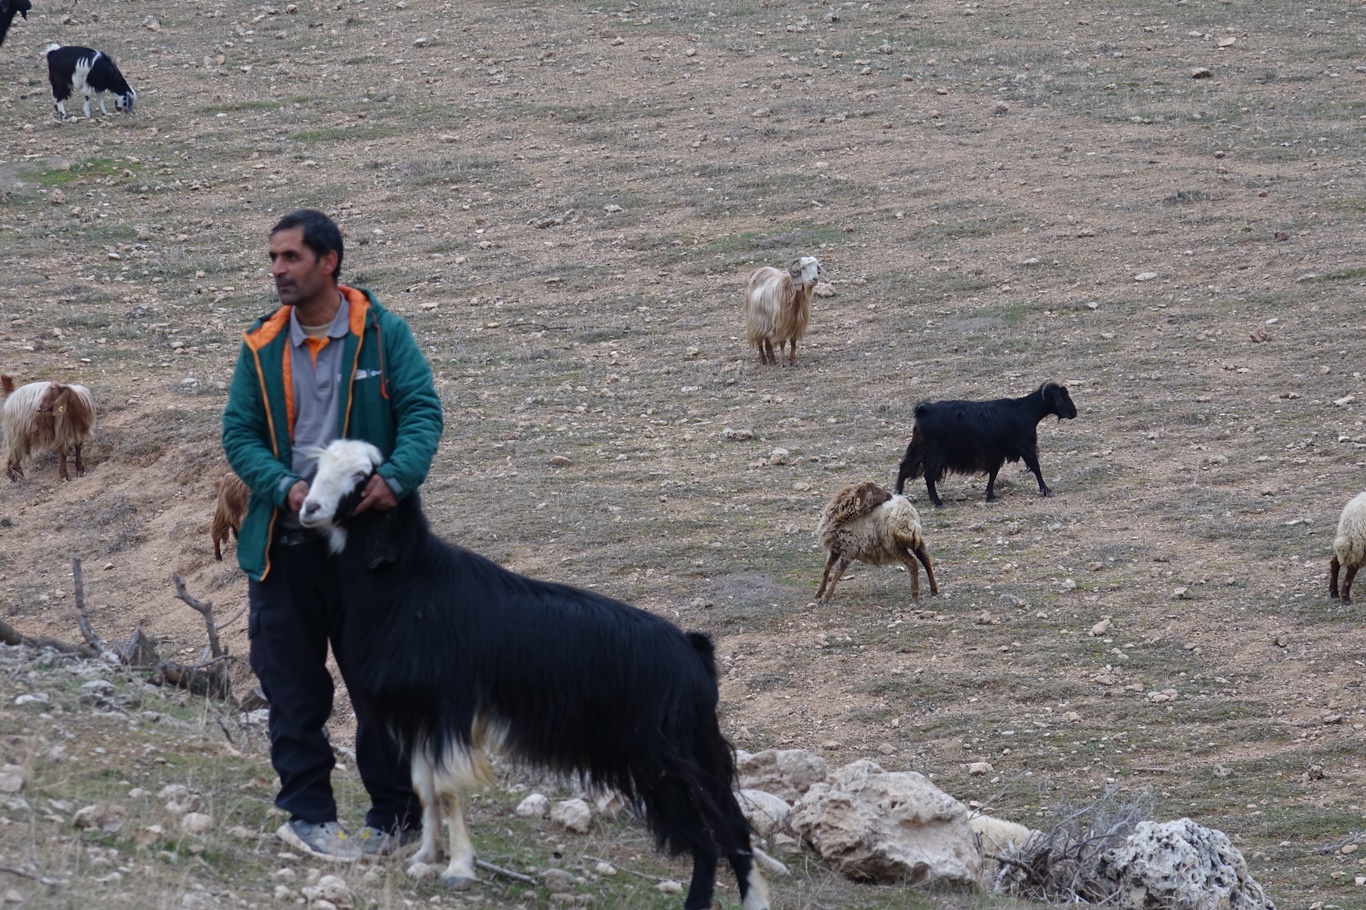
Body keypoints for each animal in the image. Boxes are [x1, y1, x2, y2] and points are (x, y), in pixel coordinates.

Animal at [896, 374, 1076, 502]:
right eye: (1064, 395)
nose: (1074, 413)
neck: (1025, 410)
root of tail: (923, 410)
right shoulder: (1025, 446)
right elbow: (1036, 467)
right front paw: (1047, 491)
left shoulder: (996, 452)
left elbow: (993, 472)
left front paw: (990, 495)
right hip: (935, 452)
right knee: (928, 475)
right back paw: (937, 502)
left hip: (918, 448)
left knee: (905, 467)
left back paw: (898, 494)